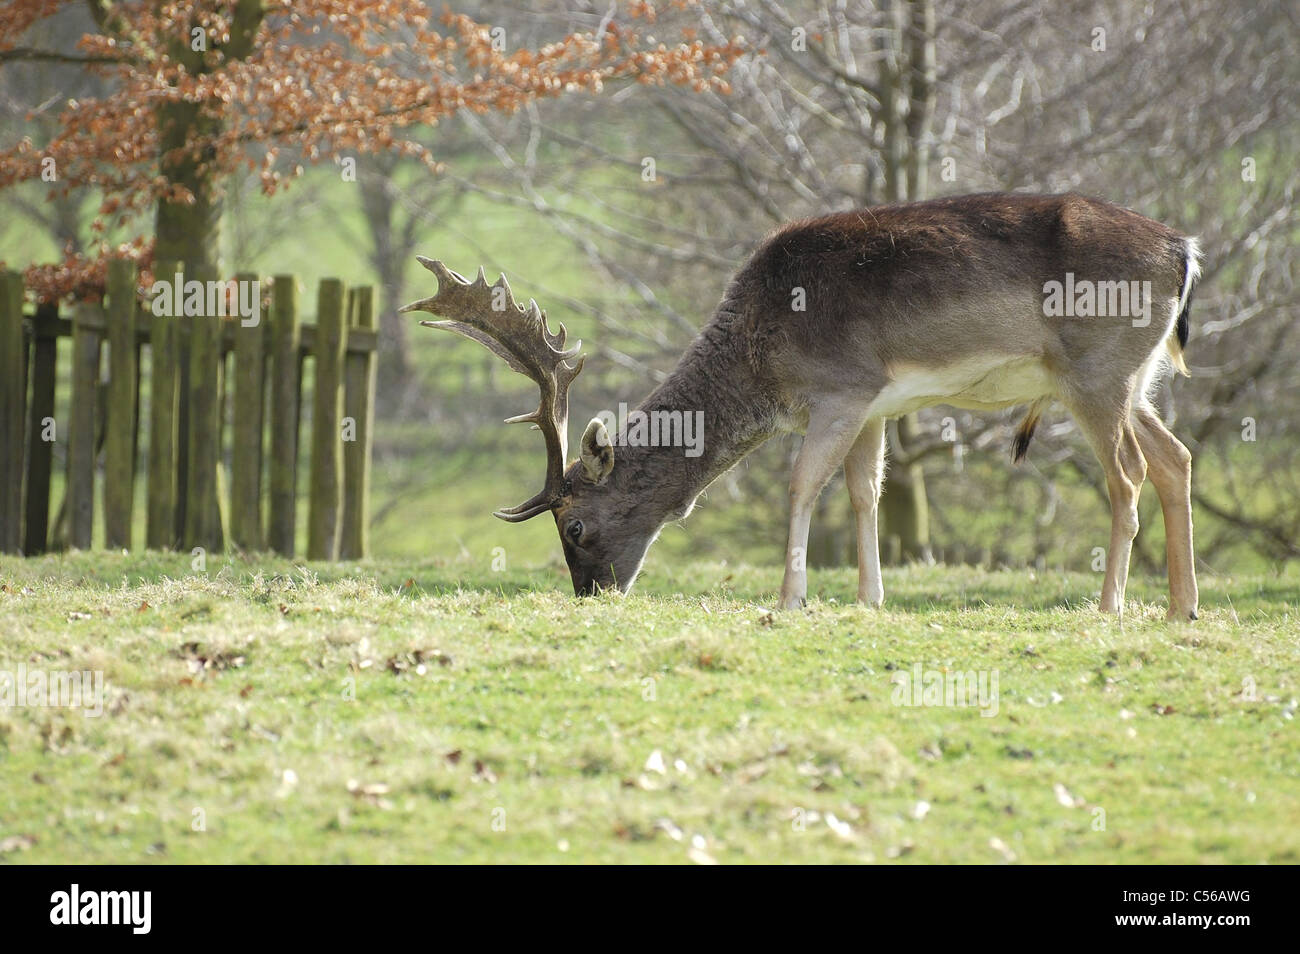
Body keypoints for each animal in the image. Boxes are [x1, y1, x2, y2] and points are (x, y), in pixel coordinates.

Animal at [400, 191, 1201, 623]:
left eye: (575, 526)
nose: (592, 594)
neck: (762, 356)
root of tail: (1184, 251)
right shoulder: (875, 404)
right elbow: (865, 491)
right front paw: (870, 598)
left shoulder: (840, 387)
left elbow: (801, 484)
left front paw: (791, 598)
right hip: (1138, 375)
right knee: (1176, 457)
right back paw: (1180, 606)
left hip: (1096, 370)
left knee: (1128, 475)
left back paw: (1110, 605)